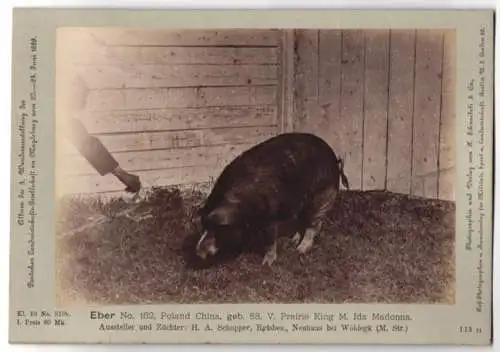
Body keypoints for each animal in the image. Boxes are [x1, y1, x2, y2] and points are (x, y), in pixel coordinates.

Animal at [193, 133, 350, 266]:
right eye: (204, 225)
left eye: (217, 229)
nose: (197, 253)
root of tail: (334, 158)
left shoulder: (270, 216)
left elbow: (270, 240)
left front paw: (266, 263)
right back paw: (293, 241)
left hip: (322, 196)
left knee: (314, 224)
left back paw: (300, 249)